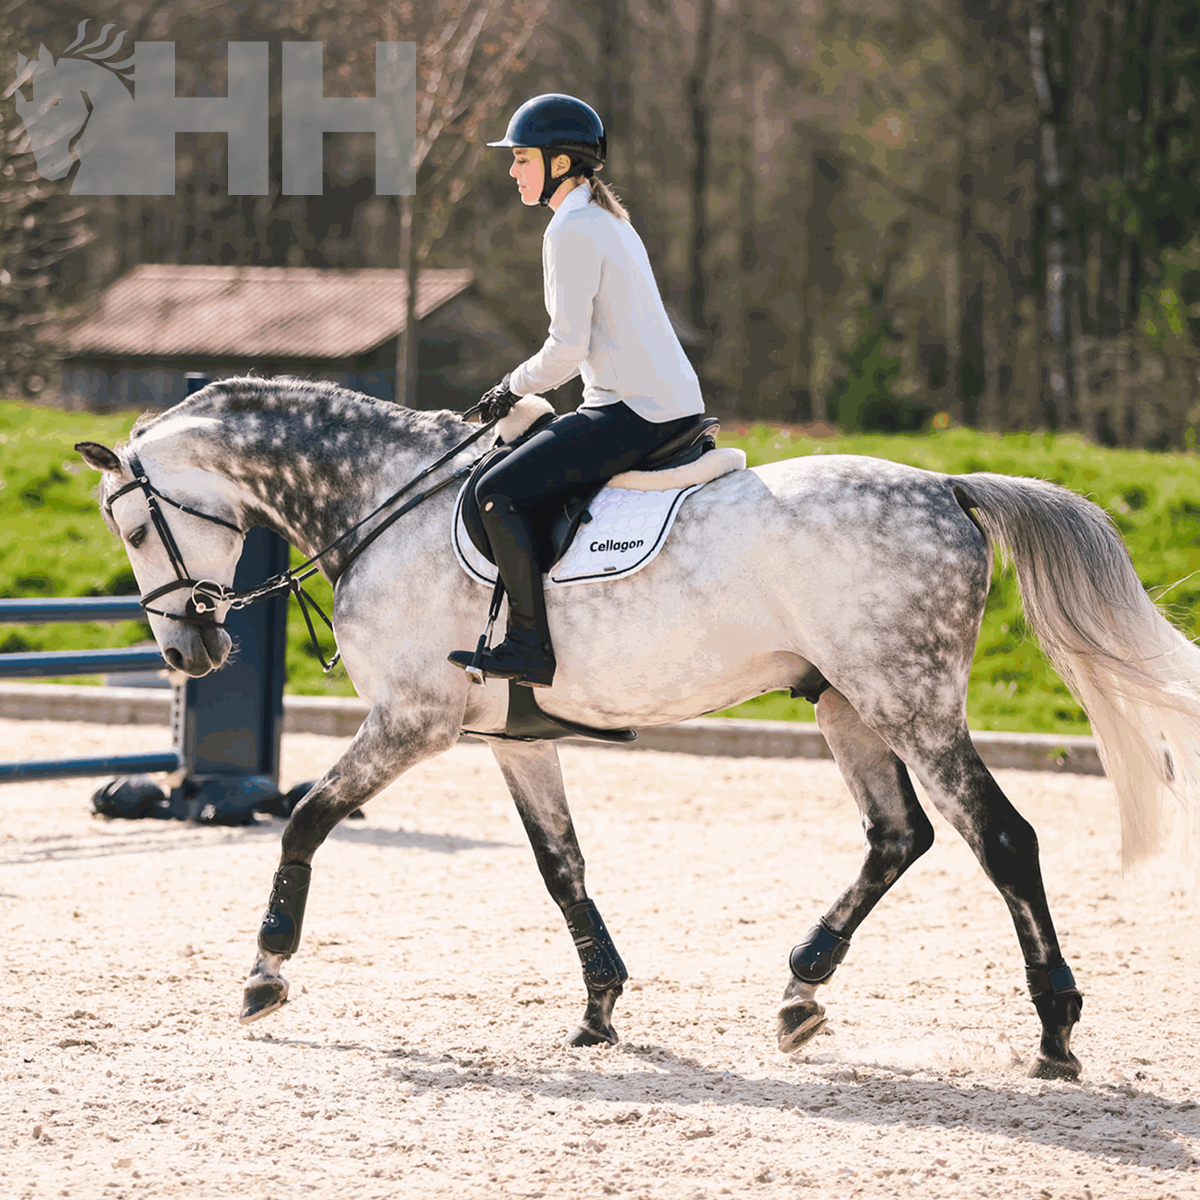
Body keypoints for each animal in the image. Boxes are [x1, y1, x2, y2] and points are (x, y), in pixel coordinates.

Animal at [75, 376, 1200, 1081]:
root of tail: (948, 486)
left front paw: (266, 971)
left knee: (1000, 838)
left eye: (132, 525)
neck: (381, 505)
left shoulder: (412, 723)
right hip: (847, 702)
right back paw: (801, 990)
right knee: (899, 836)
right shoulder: (516, 741)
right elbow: (560, 867)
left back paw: (1054, 1033)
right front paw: (599, 1008)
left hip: (909, 700)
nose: (186, 653)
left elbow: (306, 817)